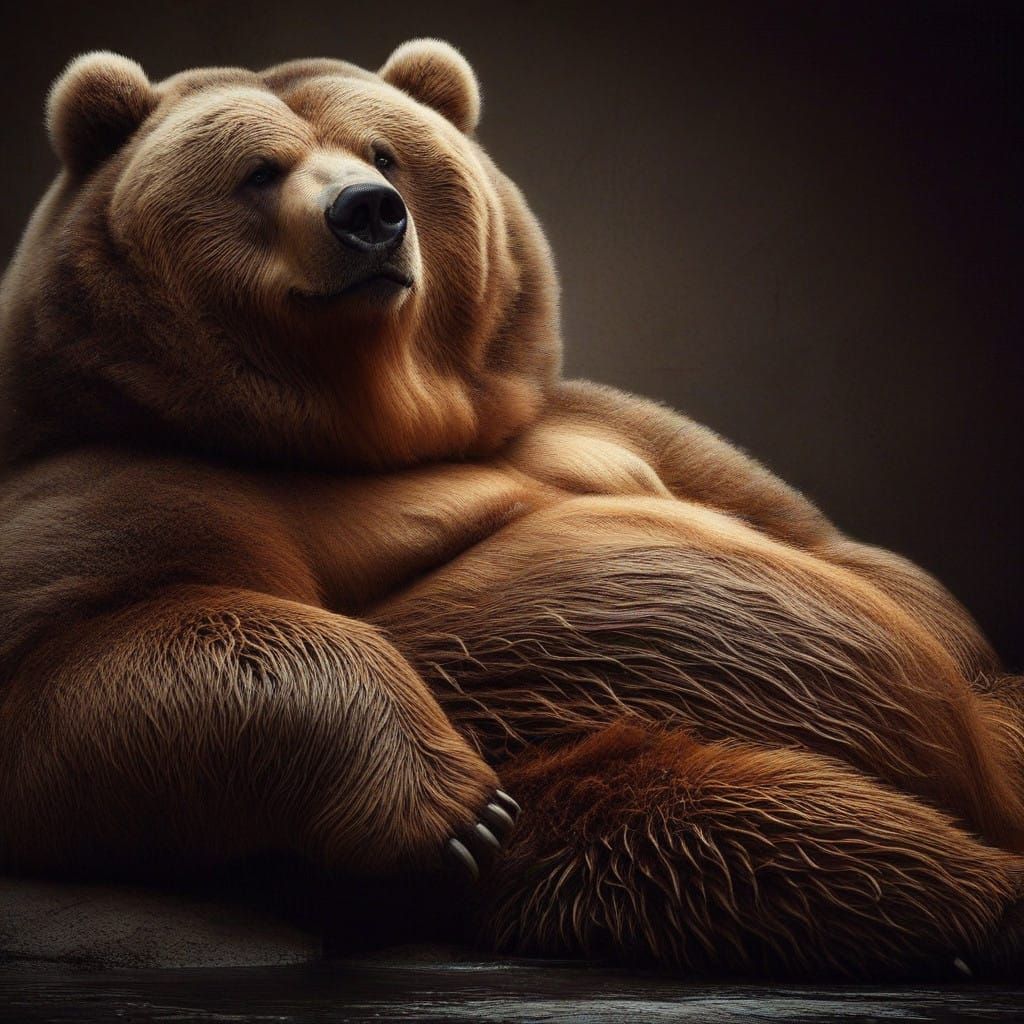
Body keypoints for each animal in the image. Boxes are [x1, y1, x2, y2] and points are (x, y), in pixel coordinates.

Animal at [0, 39, 1022, 980]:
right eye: (258, 169)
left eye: (385, 151)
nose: (369, 212)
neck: (375, 421)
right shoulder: (130, 483)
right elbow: (92, 657)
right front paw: (450, 809)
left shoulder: (591, 427)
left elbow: (829, 544)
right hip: (594, 758)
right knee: (772, 833)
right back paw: (985, 905)